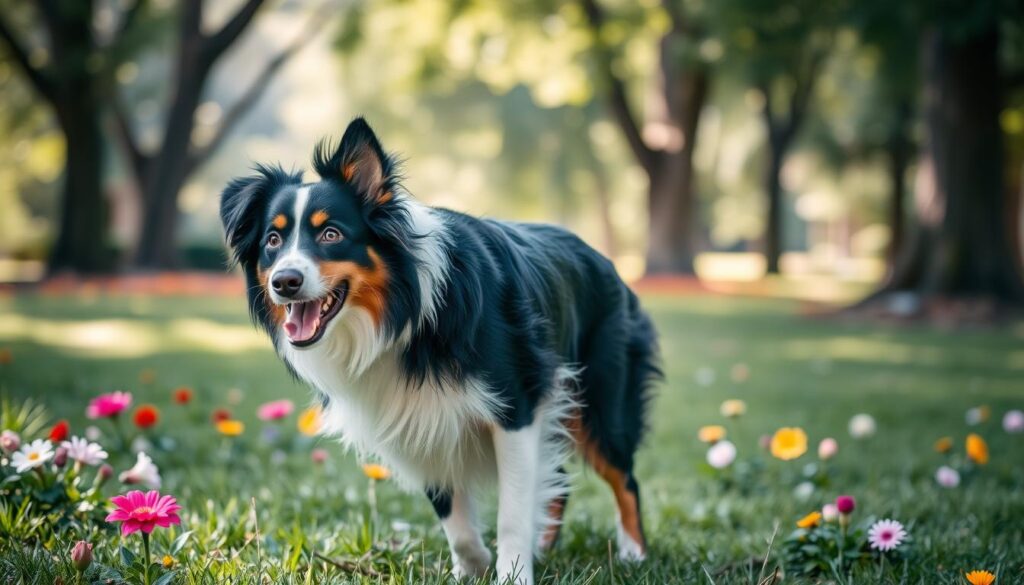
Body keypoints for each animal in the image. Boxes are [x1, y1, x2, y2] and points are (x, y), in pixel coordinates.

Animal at [220, 116, 659, 581]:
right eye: (272, 240)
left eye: (331, 234)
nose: (284, 282)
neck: (405, 315)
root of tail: (603, 257)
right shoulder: (414, 419)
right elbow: (454, 518)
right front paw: (474, 566)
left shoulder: (516, 408)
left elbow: (513, 510)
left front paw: (513, 572)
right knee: (560, 478)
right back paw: (545, 544)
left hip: (602, 401)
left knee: (624, 477)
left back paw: (633, 552)